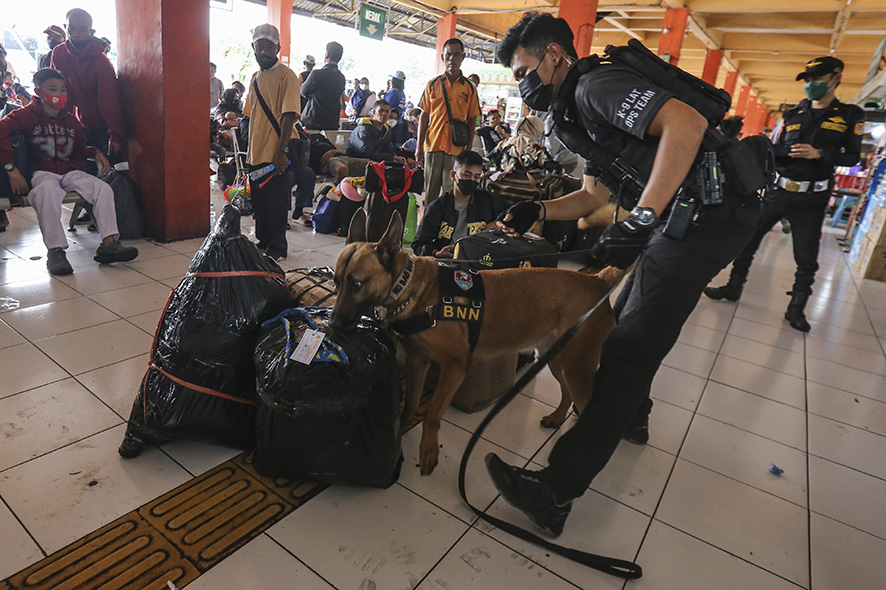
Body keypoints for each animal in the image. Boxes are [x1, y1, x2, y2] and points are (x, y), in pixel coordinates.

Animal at [328, 210, 624, 478]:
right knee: (567, 392)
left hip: (576, 367)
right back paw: (557, 418)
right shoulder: (417, 362)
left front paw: (428, 450)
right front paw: (401, 428)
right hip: (557, 360)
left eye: (357, 284)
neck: (408, 287)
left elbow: (432, 412)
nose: (332, 324)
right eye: (336, 281)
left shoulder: (455, 365)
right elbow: (411, 403)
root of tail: (597, 280)